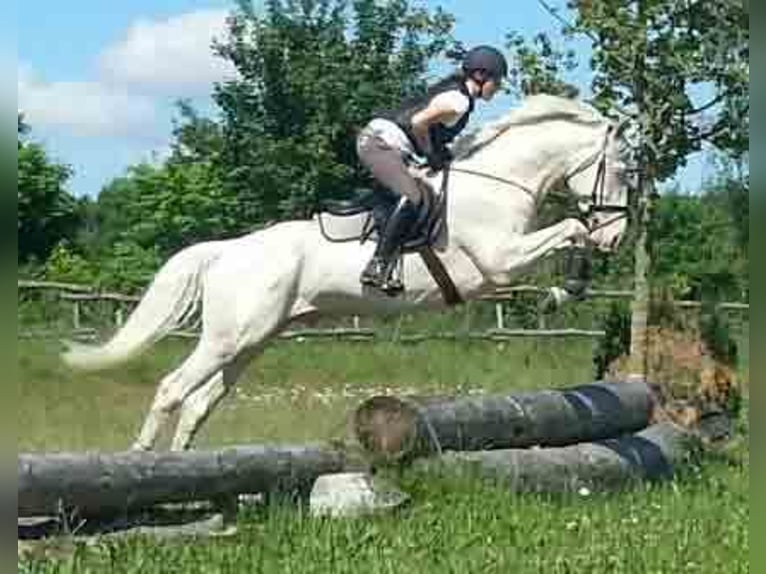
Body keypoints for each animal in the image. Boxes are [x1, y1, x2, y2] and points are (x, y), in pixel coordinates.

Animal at [64, 97, 632, 452]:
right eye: (625, 170)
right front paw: (563, 289)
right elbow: (569, 229)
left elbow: (570, 233)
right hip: (228, 339)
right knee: (172, 389)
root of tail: (225, 252)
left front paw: (569, 286)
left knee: (200, 403)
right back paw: (141, 459)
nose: (617, 236)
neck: (499, 182)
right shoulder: (501, 259)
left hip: (253, 340)